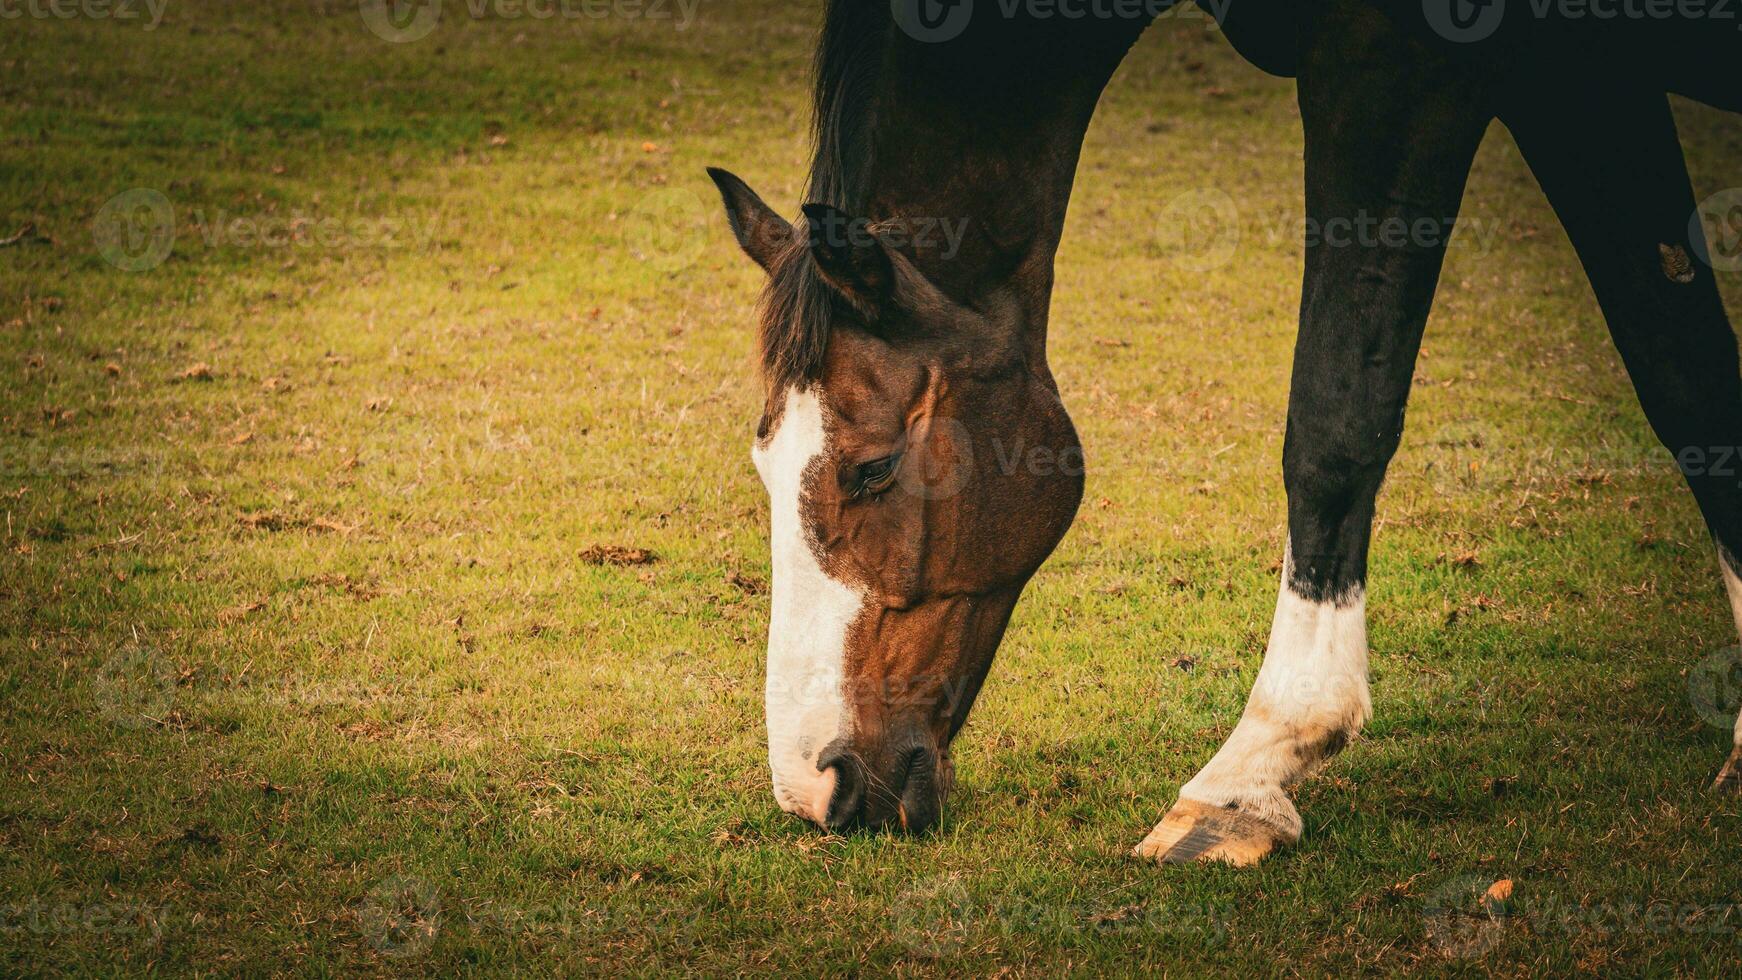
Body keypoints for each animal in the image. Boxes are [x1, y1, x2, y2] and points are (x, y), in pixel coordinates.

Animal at [703, 0, 1742, 866]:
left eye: (872, 467)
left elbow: (1334, 419)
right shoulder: (1573, 81)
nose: (815, 789)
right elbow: (1687, 379)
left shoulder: (1397, 65)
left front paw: (1250, 774)